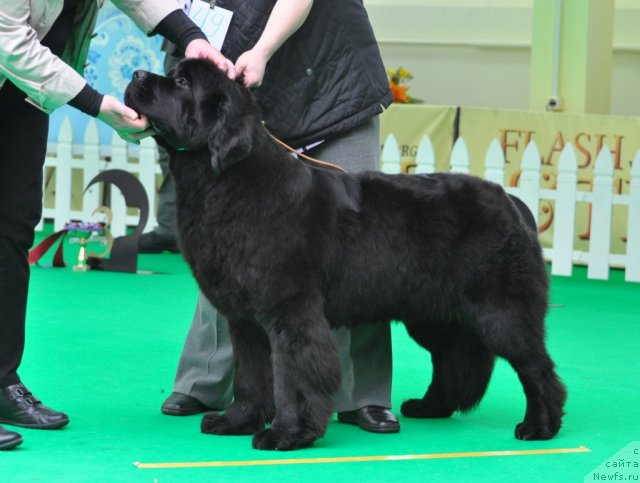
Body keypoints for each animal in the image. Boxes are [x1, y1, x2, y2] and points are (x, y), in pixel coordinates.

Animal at [124, 58, 564, 452]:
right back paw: (429, 407)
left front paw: (287, 434)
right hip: (434, 314)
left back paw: (539, 426)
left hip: (501, 312)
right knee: (451, 359)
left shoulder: (290, 313)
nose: (137, 74)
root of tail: (513, 203)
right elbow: (249, 375)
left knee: (537, 368)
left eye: (182, 82)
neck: (225, 181)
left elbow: (292, 377)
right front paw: (237, 421)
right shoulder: (244, 319)